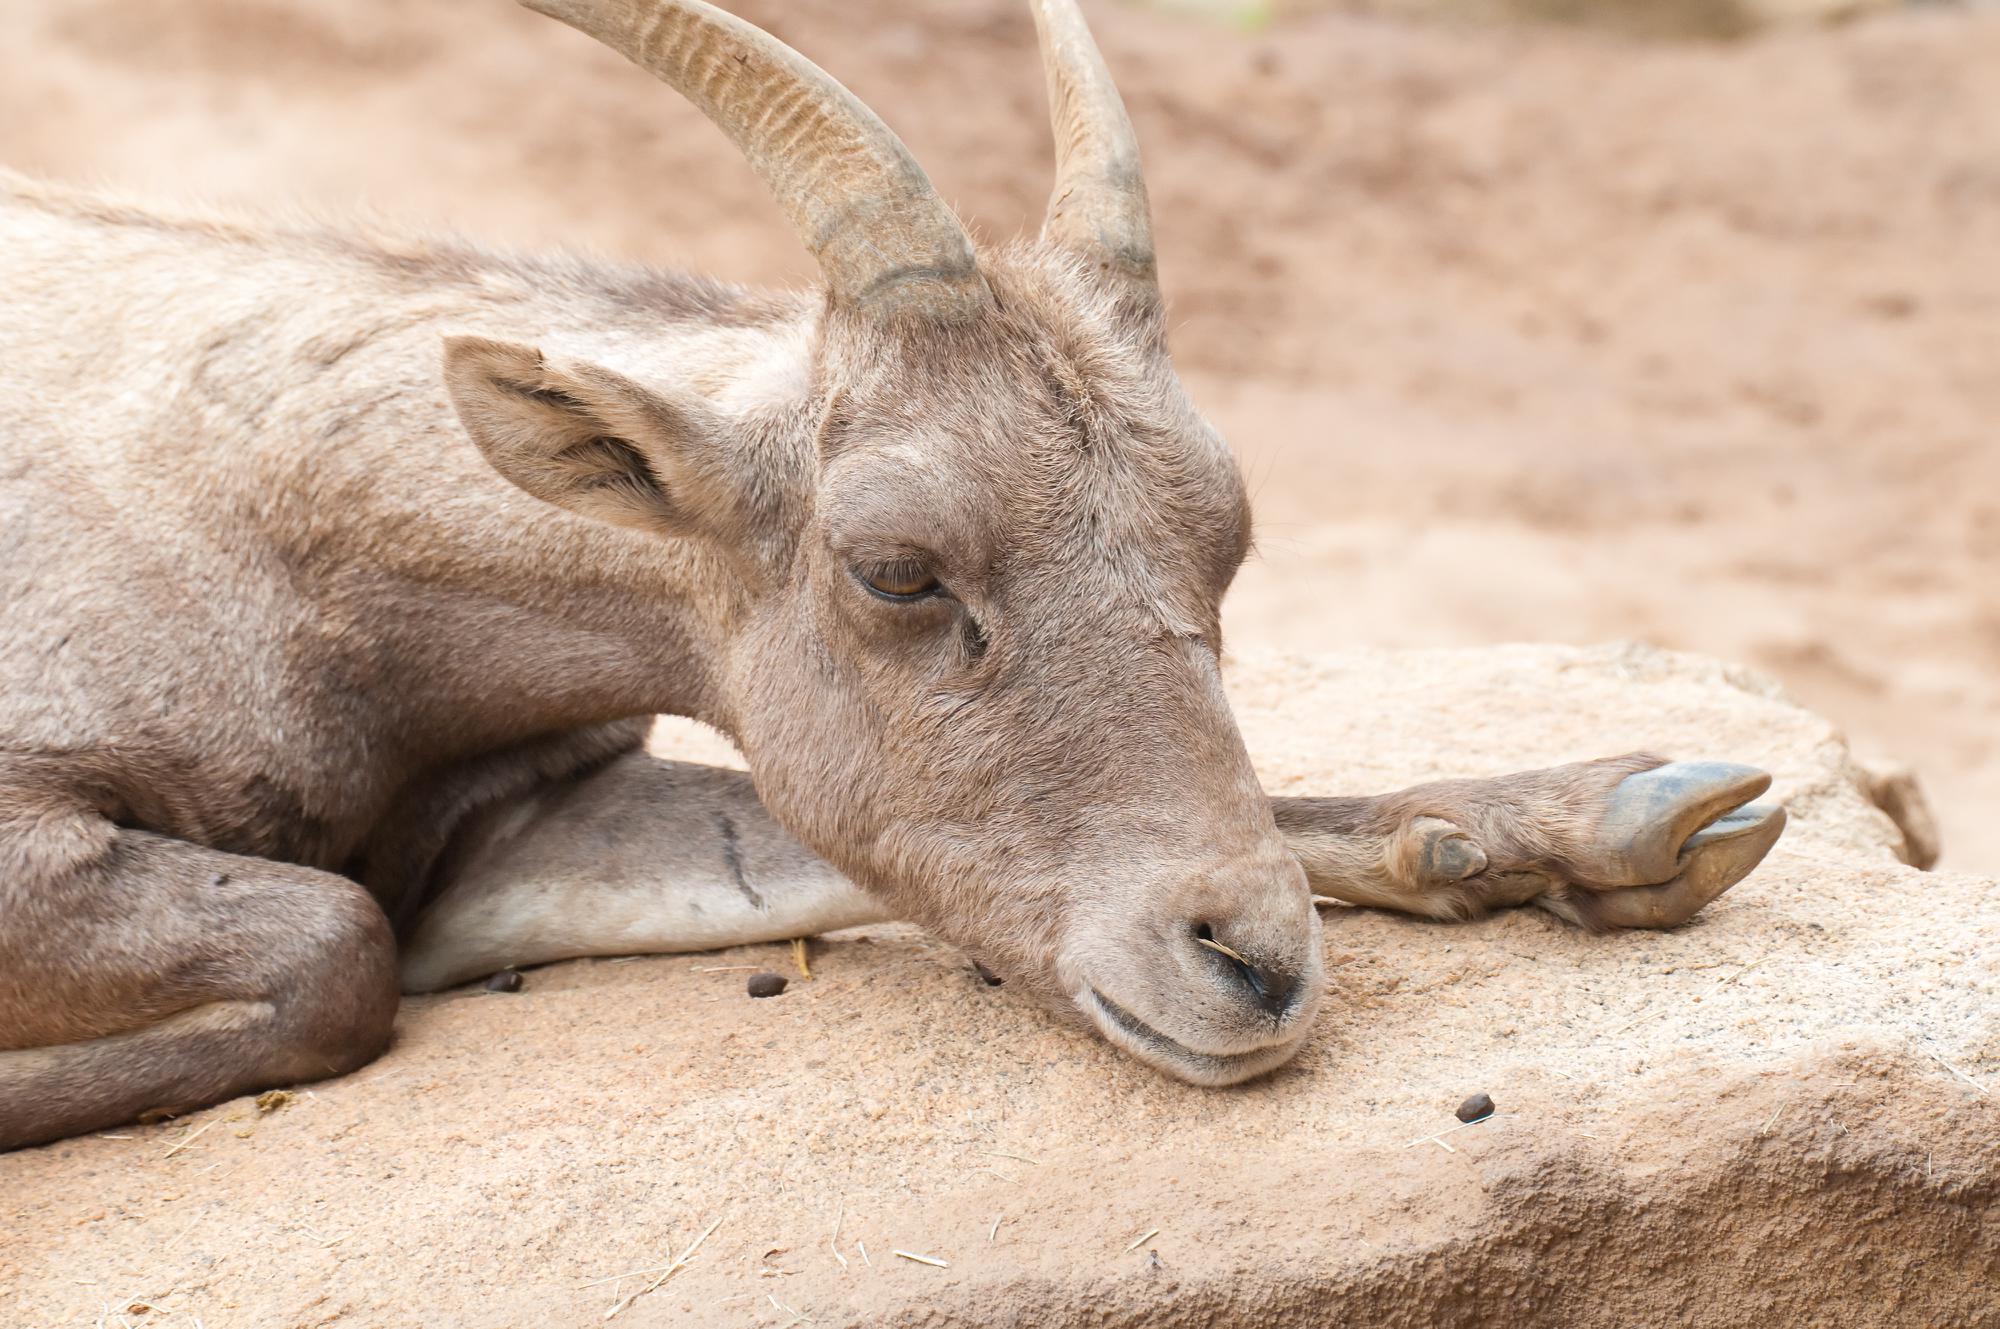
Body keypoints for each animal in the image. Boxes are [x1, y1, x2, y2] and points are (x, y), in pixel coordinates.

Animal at [0, 0, 1784, 1152]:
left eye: (1227, 530)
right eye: (899, 567)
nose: (1254, 971)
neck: (268, 520)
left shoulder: (520, 815)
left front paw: (1628, 811)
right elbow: (338, 945)